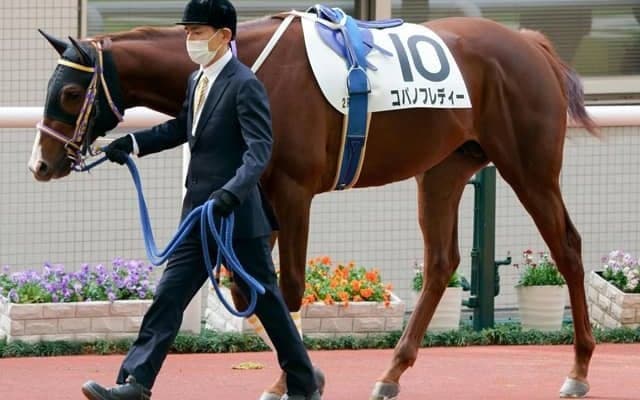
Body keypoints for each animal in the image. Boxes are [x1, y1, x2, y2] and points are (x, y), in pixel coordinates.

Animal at [29, 11, 599, 399]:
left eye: (72, 92)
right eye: (52, 86)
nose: (40, 164)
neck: (252, 67)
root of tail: (529, 43)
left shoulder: (293, 192)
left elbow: (288, 289)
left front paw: (292, 379)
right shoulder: (250, 195)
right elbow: (247, 287)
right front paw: (304, 369)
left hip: (529, 167)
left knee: (568, 248)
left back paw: (578, 370)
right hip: (443, 170)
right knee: (441, 264)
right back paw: (390, 375)